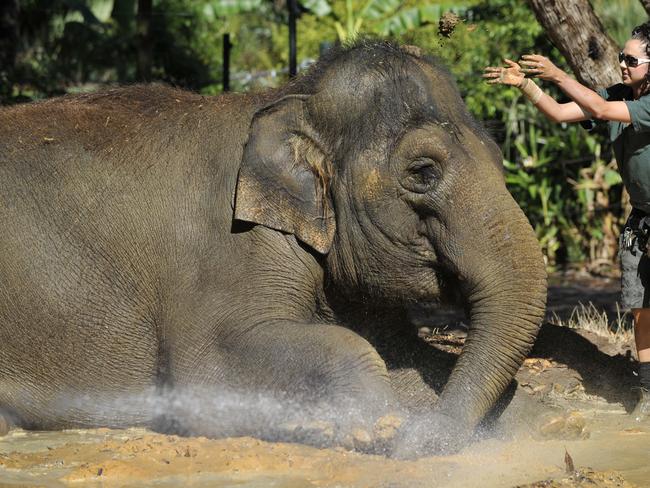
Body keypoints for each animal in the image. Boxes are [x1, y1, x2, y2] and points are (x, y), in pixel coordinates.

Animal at [0, 40, 548, 456]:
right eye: (423, 172)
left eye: (499, 157)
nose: (423, 444)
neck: (288, 97)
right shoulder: (229, 247)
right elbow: (208, 372)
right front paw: (366, 428)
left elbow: (403, 354)